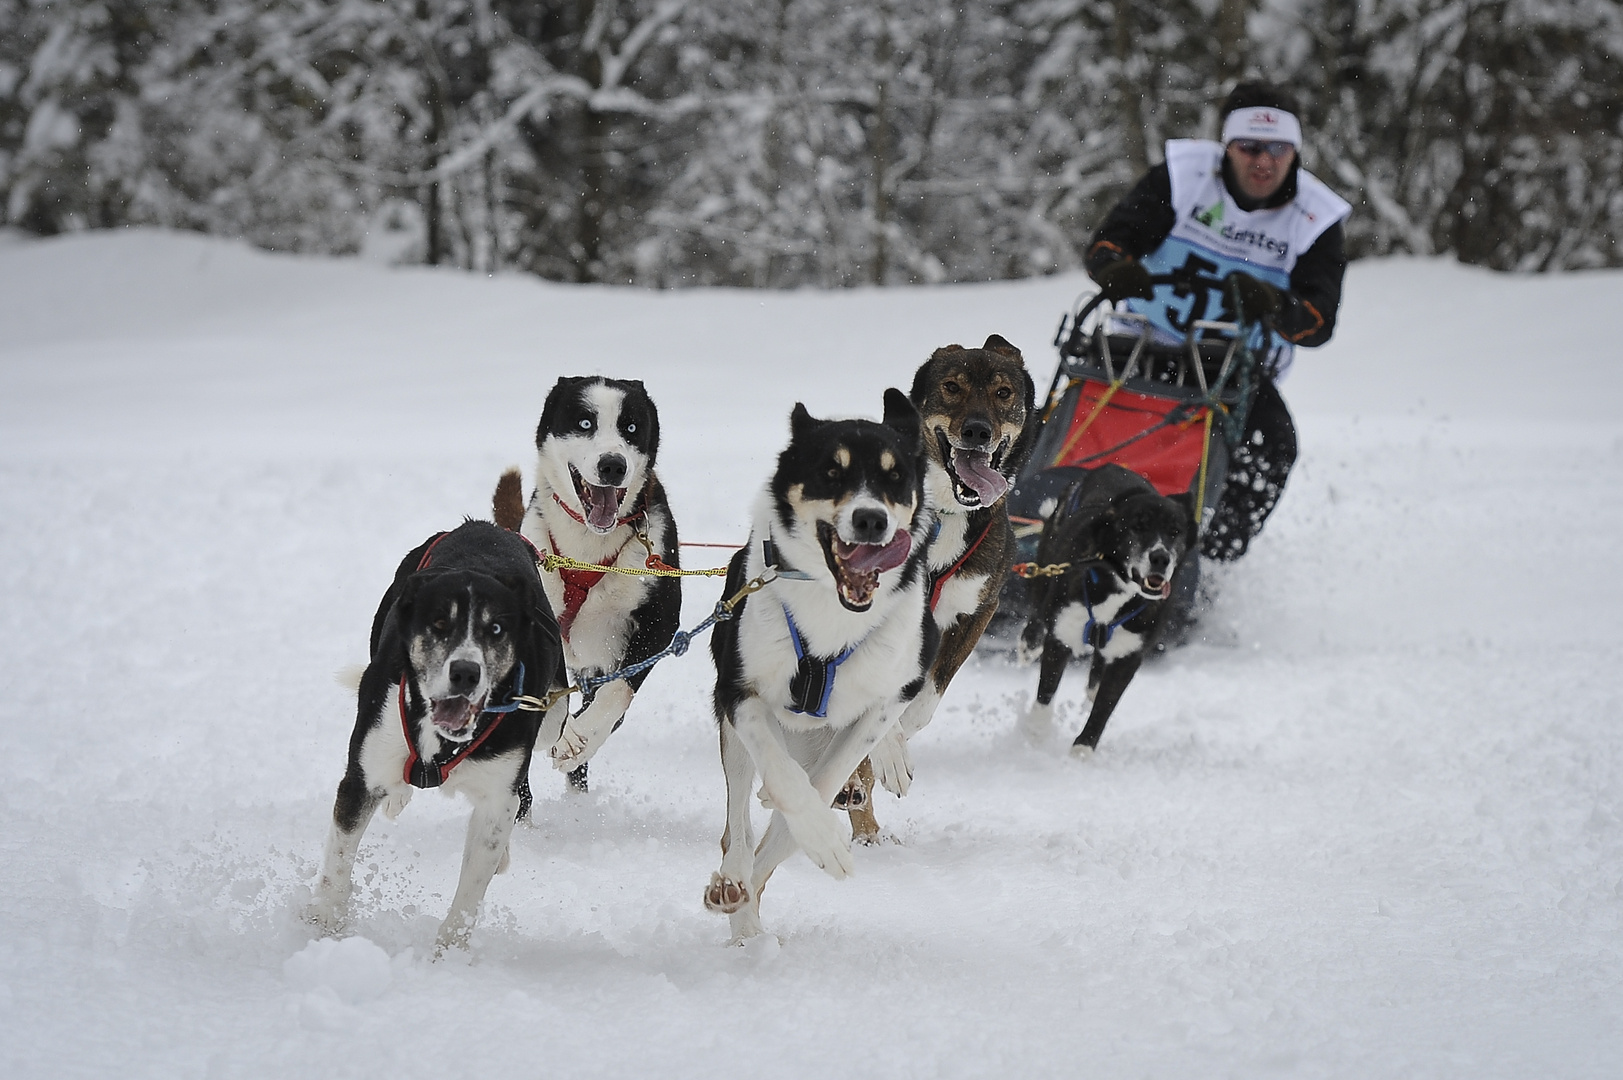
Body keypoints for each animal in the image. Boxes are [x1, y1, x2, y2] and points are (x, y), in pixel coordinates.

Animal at [306, 522, 568, 954]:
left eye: (495, 629)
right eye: (439, 625)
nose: (465, 672)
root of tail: (478, 524)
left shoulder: (496, 799)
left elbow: (471, 891)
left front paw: (447, 955)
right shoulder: (362, 777)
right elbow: (339, 862)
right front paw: (324, 926)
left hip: (552, 718)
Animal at [486, 376, 678, 792]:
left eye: (631, 427)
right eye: (585, 423)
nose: (613, 465)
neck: (587, 551)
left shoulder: (660, 621)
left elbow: (618, 690)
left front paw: (584, 735)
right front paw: (564, 734)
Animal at [701, 388, 941, 935]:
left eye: (896, 477)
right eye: (832, 472)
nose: (872, 519)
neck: (833, 618)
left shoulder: (893, 691)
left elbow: (826, 780)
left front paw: (824, 835)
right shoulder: (739, 691)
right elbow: (782, 776)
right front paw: (820, 834)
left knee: (776, 841)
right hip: (732, 733)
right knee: (739, 823)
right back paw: (735, 891)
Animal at [843, 332, 1032, 838]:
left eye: (1004, 393)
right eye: (951, 387)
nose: (978, 432)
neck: (946, 514)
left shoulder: (977, 609)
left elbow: (929, 694)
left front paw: (901, 732)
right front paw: (889, 753)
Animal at [1019, 461, 1201, 750]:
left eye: (1175, 531)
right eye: (1138, 526)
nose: (1160, 558)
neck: (1118, 587)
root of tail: (1110, 466)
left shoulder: (1129, 656)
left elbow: (1105, 706)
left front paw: (1083, 748)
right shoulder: (1063, 635)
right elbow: (1046, 692)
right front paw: (1036, 735)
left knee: (1097, 674)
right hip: (1045, 571)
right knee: (1038, 613)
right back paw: (1029, 644)